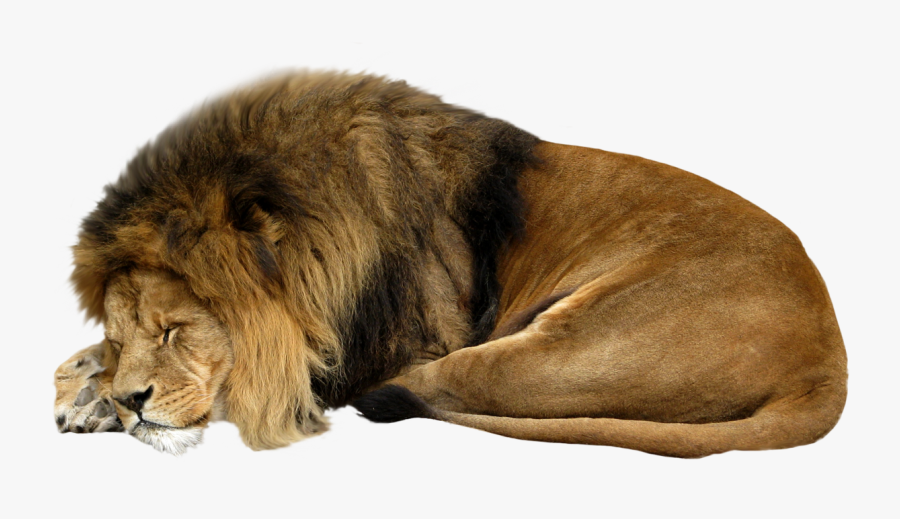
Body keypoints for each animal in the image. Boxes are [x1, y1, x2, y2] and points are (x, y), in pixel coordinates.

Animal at [53, 71, 847, 457]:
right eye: (123, 335)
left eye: (176, 329)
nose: (131, 400)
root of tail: (830, 356)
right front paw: (88, 390)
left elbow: (268, 379)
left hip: (565, 342)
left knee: (452, 383)